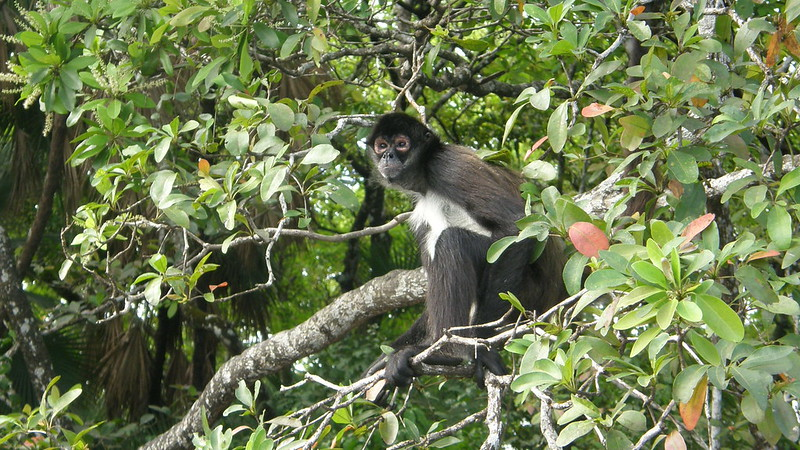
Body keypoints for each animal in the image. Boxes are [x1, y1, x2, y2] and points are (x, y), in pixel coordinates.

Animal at [366, 113, 564, 400]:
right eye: (381, 146)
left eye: (402, 144)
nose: (388, 156)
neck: (426, 182)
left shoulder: (448, 167)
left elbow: (514, 226)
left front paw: (481, 350)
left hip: (525, 295)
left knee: (451, 240)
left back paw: (448, 354)